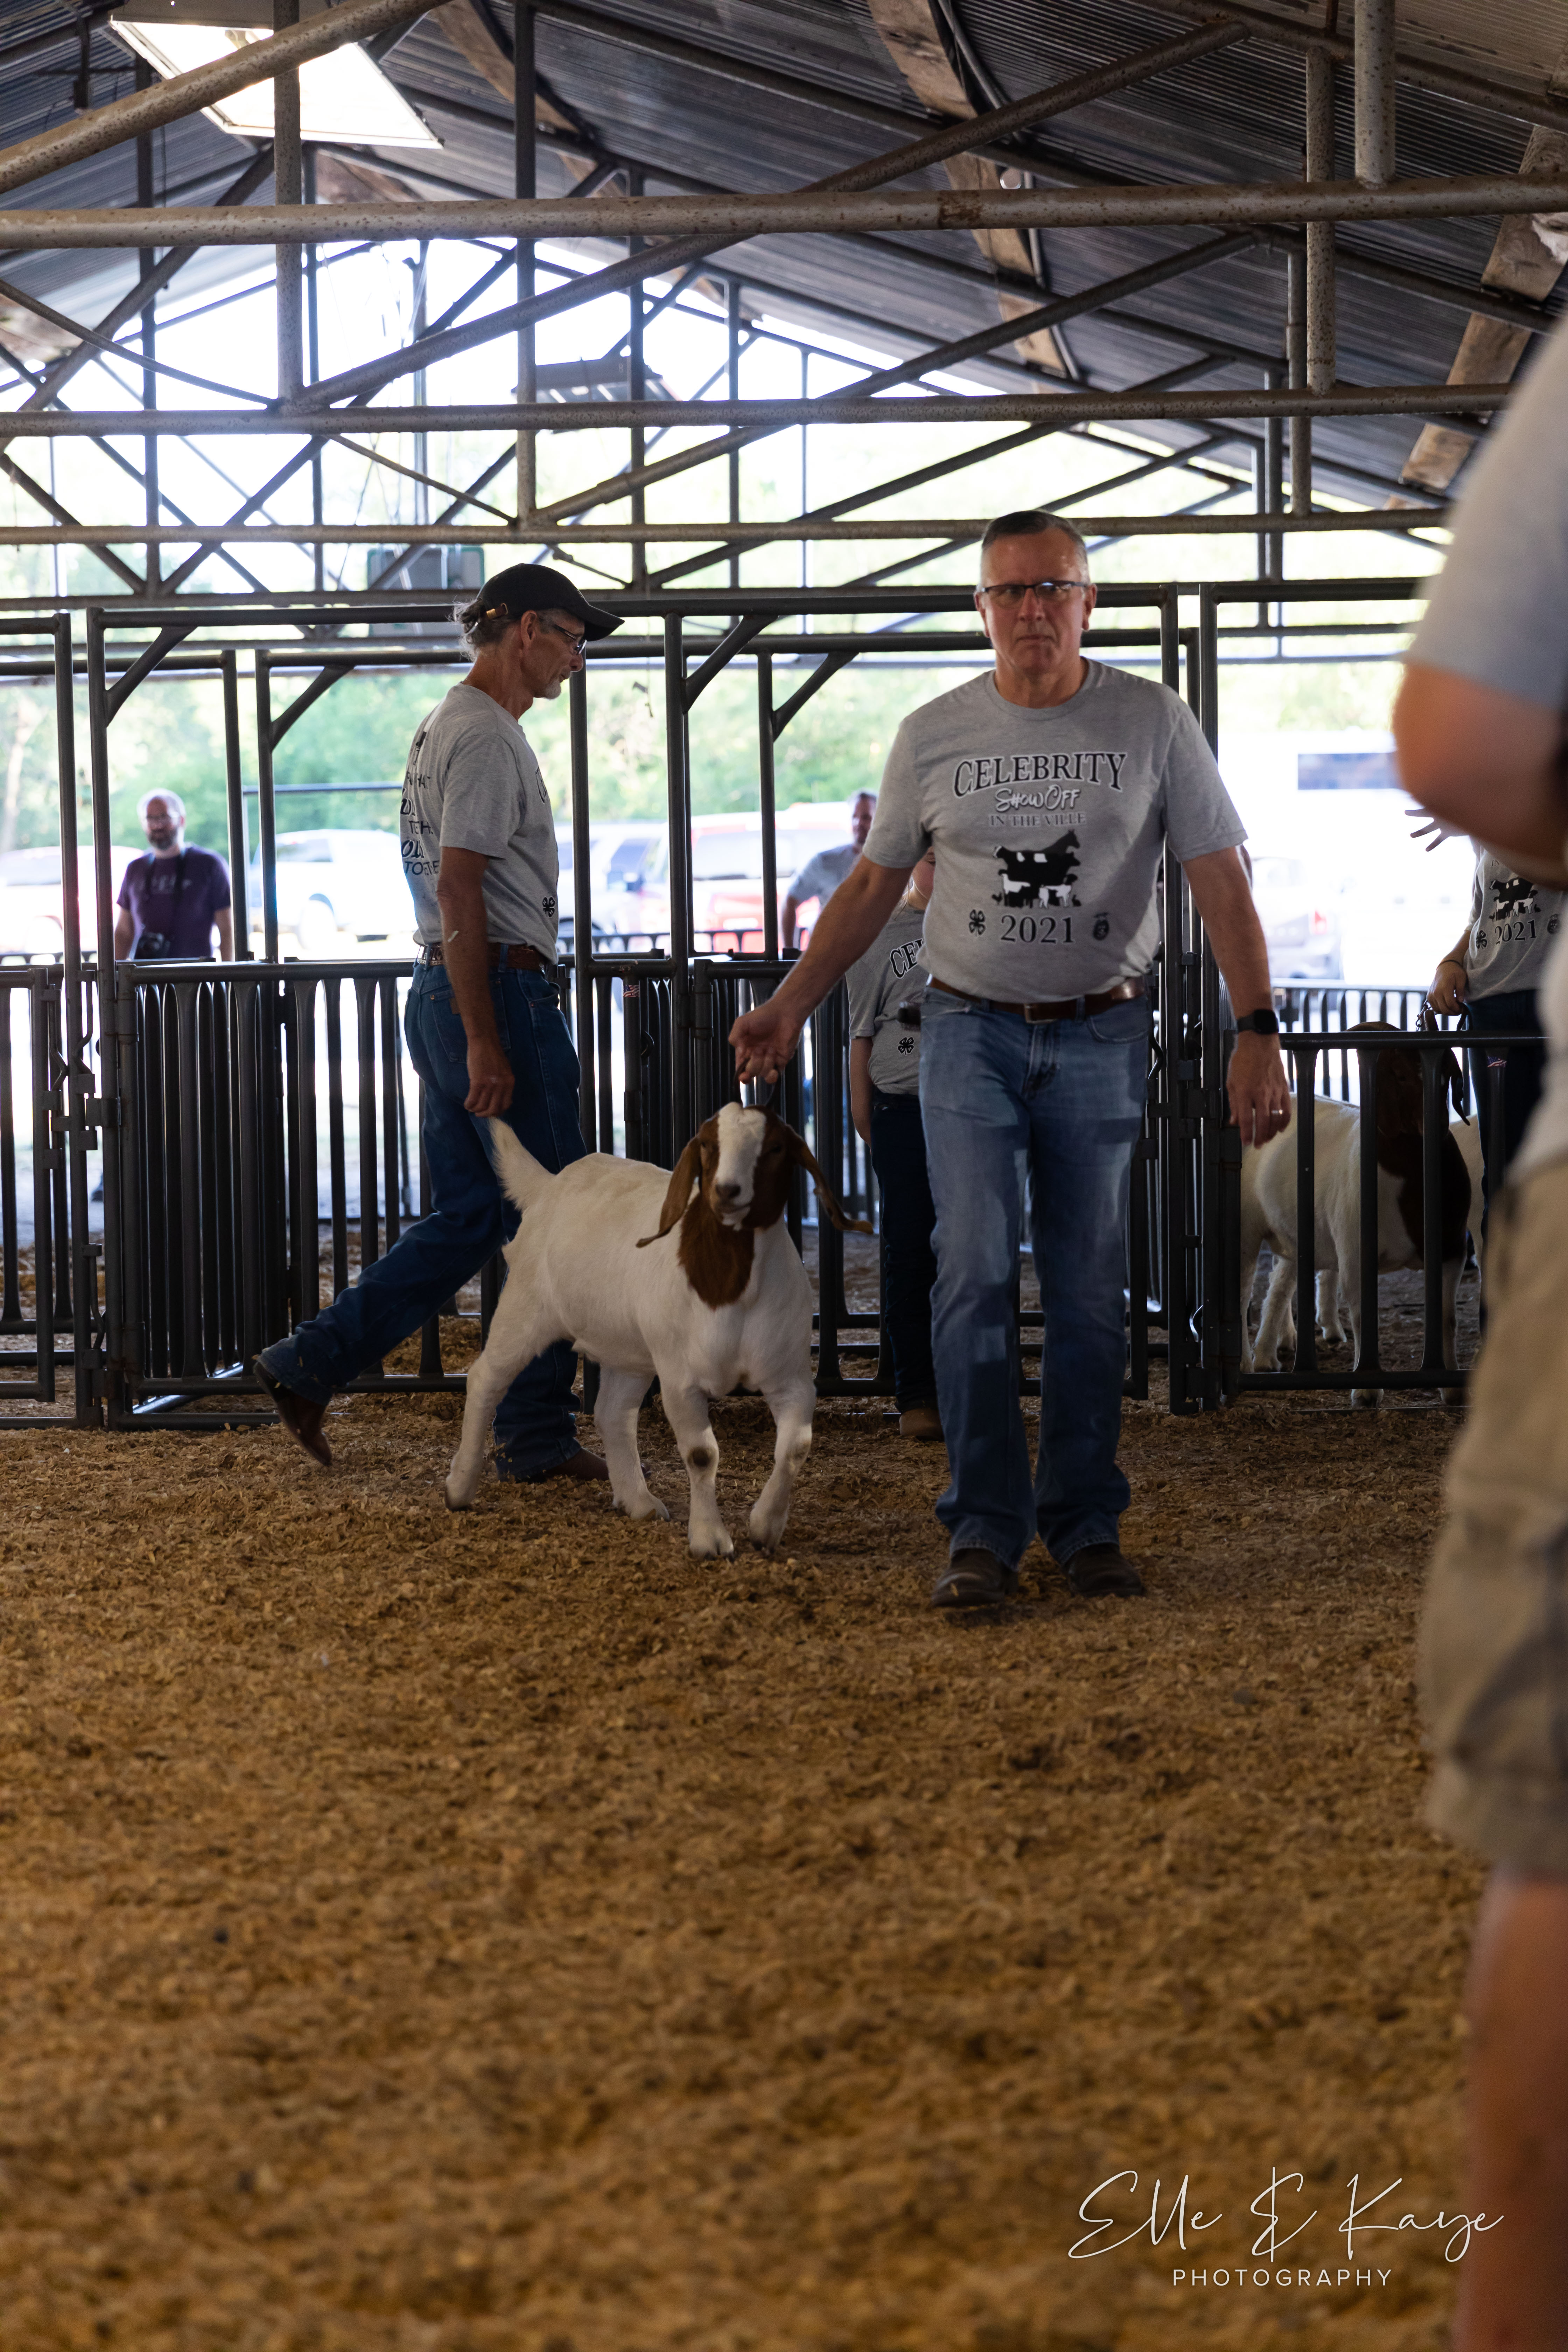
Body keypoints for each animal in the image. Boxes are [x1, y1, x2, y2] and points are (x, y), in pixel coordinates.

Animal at [444, 1103, 870, 1557]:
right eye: (707, 1145)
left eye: (775, 1148)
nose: (727, 1191)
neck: (730, 1291)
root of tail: (550, 1185)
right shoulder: (681, 1378)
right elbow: (702, 1454)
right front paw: (709, 1539)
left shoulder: (790, 1377)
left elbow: (795, 1448)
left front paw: (765, 1528)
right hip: (525, 1306)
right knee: (486, 1378)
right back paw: (459, 1487)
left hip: (630, 1348)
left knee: (613, 1411)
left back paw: (639, 1501)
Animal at [1240, 1024, 1471, 1406]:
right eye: (1400, 1075)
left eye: (1447, 1074)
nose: (1435, 1127)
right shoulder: (1355, 1250)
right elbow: (1364, 1317)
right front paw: (1366, 1391)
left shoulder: (1452, 1249)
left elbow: (1447, 1319)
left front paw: (1452, 1387)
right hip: (1245, 1226)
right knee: (1242, 1291)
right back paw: (1247, 1362)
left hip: (1293, 1228)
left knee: (1280, 1285)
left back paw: (1268, 1356)